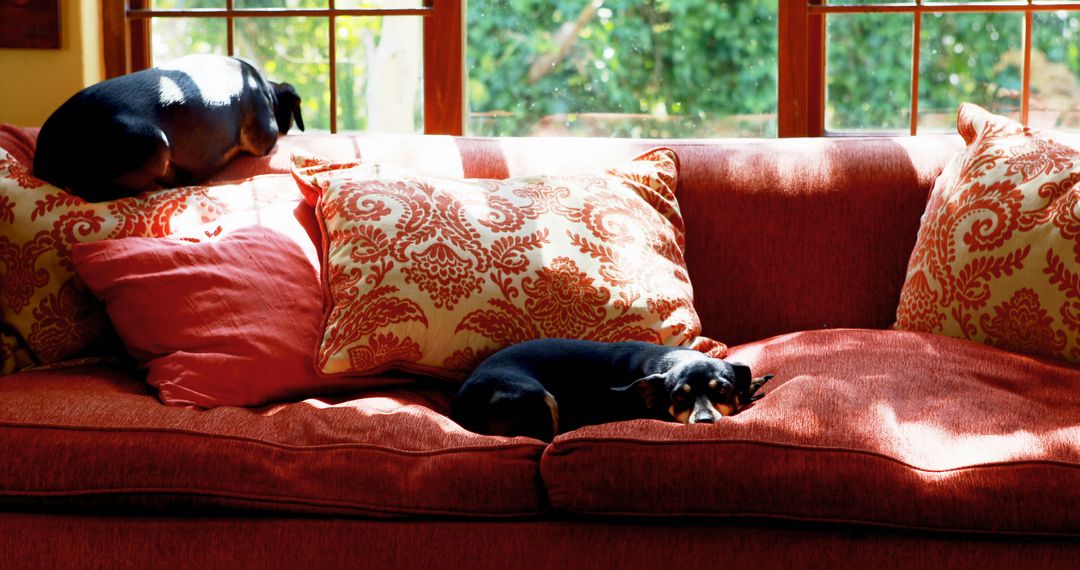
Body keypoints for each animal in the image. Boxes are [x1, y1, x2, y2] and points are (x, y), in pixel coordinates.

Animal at [451, 338, 773, 440]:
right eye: (678, 397)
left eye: (722, 390)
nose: (704, 421)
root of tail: (460, 406)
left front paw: (753, 383)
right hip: (538, 396)